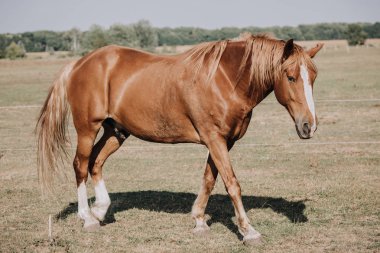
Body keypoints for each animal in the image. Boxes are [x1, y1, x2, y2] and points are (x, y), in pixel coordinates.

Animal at [35, 33, 322, 243]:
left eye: (314, 78)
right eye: (291, 77)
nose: (309, 126)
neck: (225, 79)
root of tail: (80, 63)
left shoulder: (223, 141)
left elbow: (209, 179)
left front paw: (199, 220)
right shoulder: (214, 139)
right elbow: (232, 183)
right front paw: (248, 230)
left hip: (115, 131)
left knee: (96, 162)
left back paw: (100, 209)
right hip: (87, 128)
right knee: (81, 165)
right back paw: (87, 217)